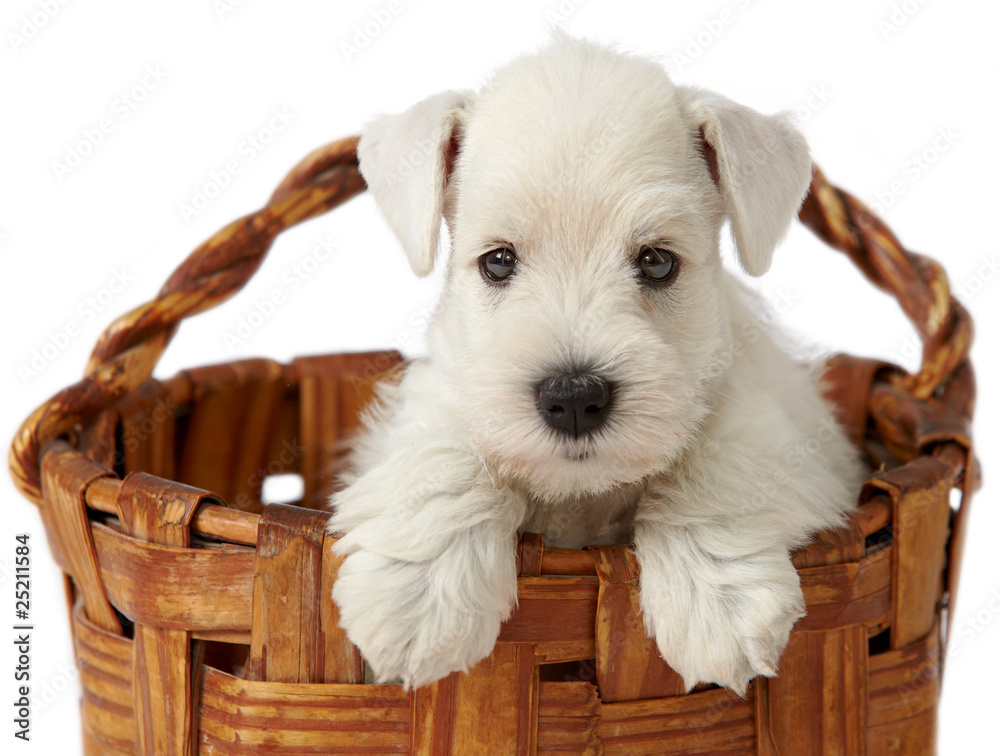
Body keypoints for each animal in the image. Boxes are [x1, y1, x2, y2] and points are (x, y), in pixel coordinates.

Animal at [330, 38, 868, 692]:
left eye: (658, 261)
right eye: (498, 261)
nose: (572, 398)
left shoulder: (772, 423)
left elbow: (719, 462)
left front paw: (719, 602)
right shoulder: (444, 395)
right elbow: (446, 456)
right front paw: (419, 598)